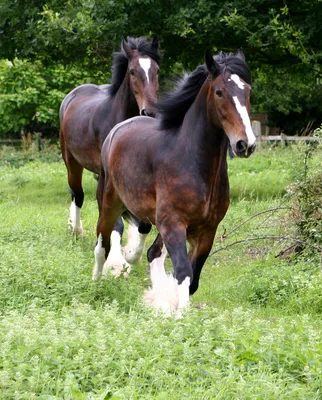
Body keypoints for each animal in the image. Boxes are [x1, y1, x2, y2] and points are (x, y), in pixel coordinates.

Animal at [59, 36, 160, 276]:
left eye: (157, 70)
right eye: (132, 71)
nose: (150, 111)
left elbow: (142, 222)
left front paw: (131, 252)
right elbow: (115, 223)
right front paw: (115, 263)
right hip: (72, 162)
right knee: (77, 194)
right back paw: (76, 230)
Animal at [94, 48, 255, 314]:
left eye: (247, 91)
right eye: (220, 92)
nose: (245, 144)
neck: (191, 162)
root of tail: (117, 130)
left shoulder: (206, 230)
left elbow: (193, 278)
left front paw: (168, 305)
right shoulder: (174, 223)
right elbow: (183, 272)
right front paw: (179, 315)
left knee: (152, 253)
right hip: (110, 204)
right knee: (102, 244)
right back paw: (97, 283)